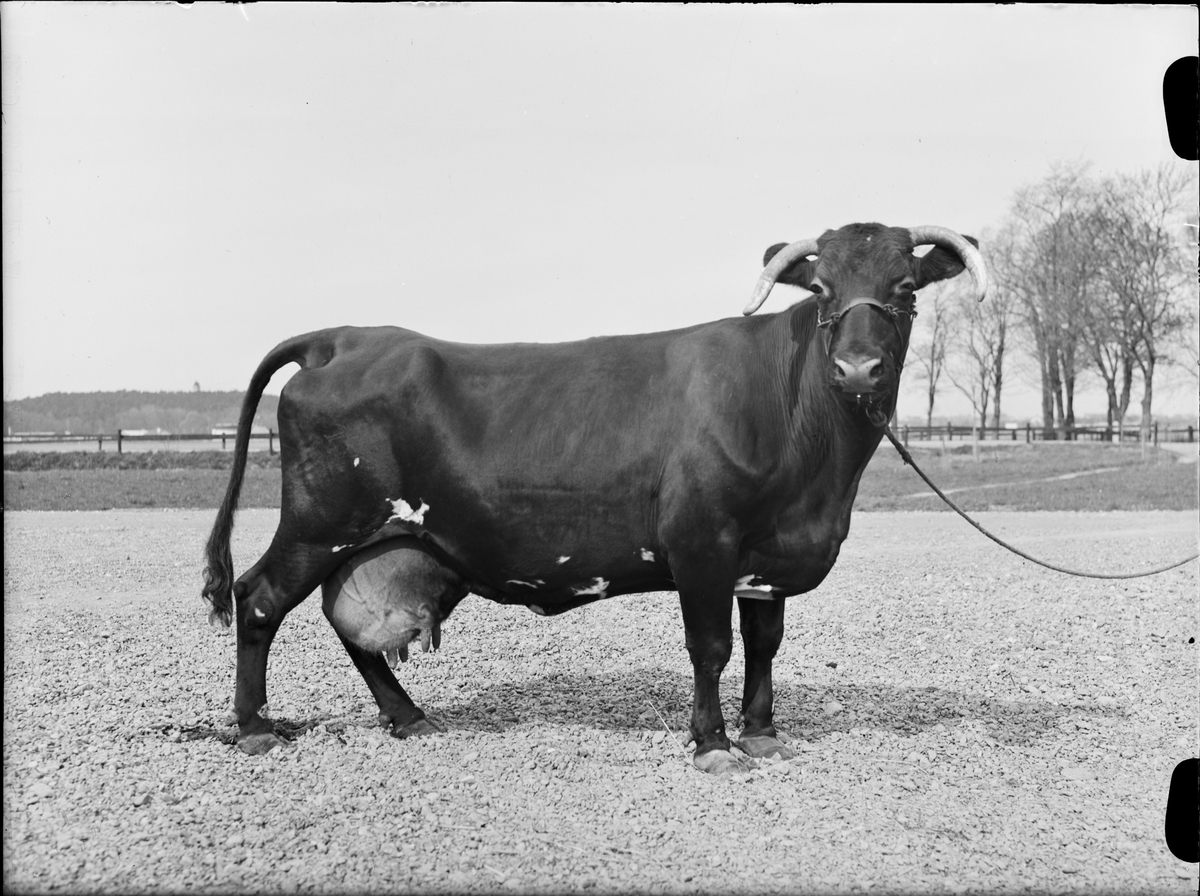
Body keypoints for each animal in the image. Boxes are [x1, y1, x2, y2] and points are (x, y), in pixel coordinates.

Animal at [201, 223, 984, 772]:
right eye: (821, 289)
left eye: (906, 286)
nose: (858, 367)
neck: (819, 480)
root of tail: (348, 337)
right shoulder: (702, 543)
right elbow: (711, 648)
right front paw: (713, 744)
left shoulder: (767, 557)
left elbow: (765, 645)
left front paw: (762, 734)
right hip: (318, 523)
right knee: (260, 598)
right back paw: (256, 728)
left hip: (379, 538)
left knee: (351, 624)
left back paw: (409, 716)